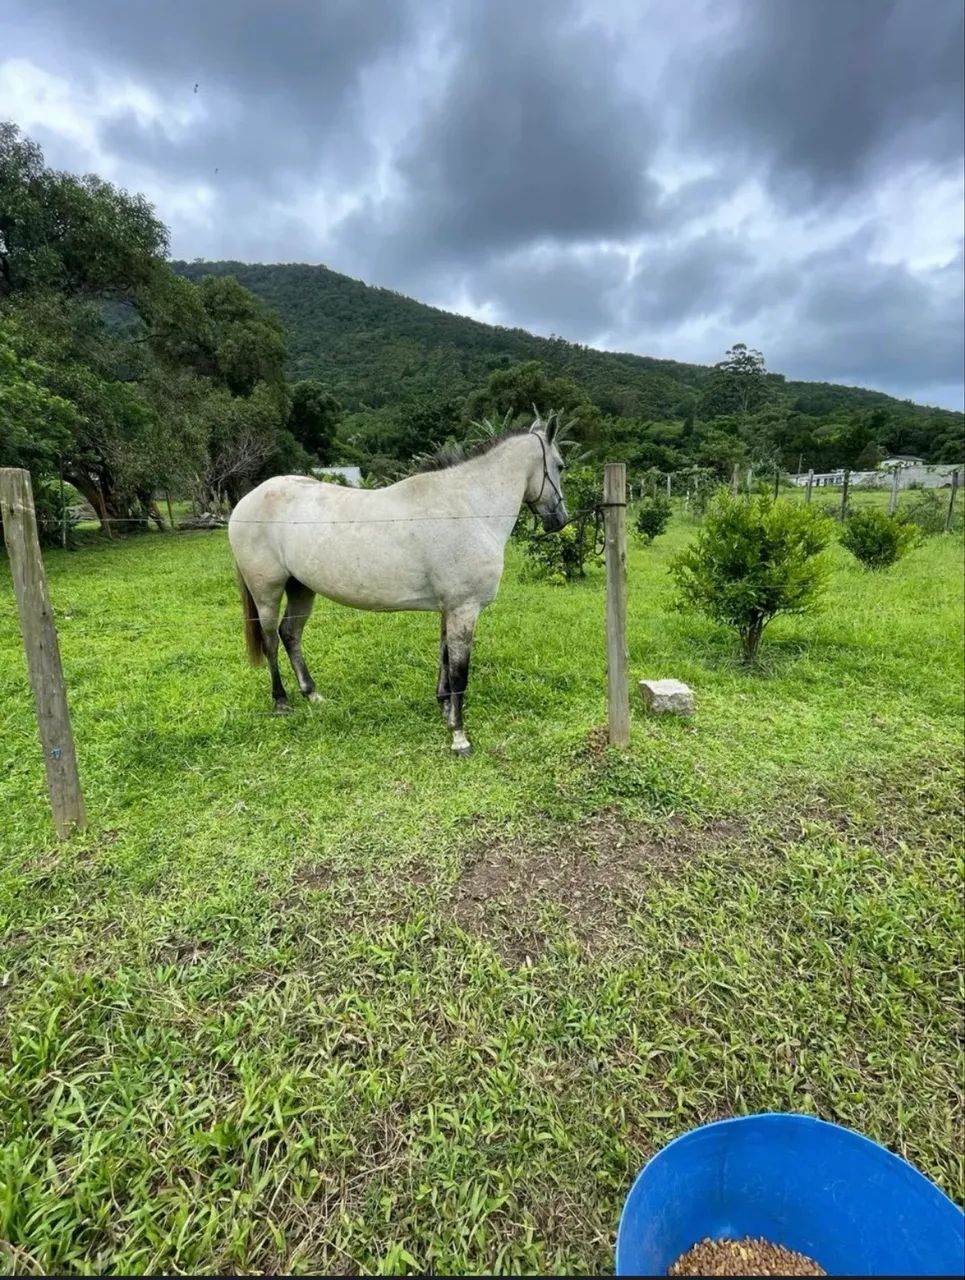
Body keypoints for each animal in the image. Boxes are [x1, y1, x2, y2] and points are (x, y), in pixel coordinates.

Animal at [228, 414, 568, 756]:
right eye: (561, 465)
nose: (560, 521)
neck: (467, 507)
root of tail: (245, 502)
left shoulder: (449, 609)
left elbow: (445, 658)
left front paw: (445, 709)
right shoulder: (464, 609)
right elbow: (459, 672)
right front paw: (459, 736)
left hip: (301, 588)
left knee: (290, 634)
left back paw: (312, 694)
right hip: (267, 592)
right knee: (271, 640)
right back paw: (281, 701)